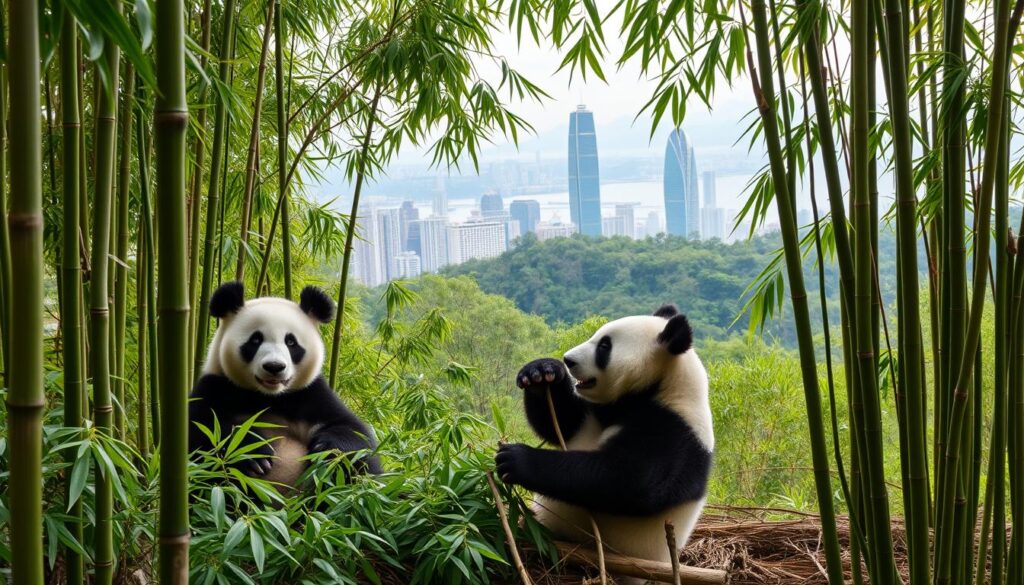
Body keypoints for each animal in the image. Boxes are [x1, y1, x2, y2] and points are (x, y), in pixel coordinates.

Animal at [188, 280, 380, 487]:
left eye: (291, 342)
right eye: (255, 340)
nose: (274, 366)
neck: (269, 397)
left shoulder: (312, 394)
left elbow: (353, 431)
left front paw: (326, 449)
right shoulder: (215, 386)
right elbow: (204, 431)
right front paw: (255, 454)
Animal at [495, 307, 712, 569]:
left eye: (604, 346)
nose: (568, 359)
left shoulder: (675, 433)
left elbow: (628, 480)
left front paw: (515, 459)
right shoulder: (596, 412)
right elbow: (561, 423)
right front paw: (541, 372)